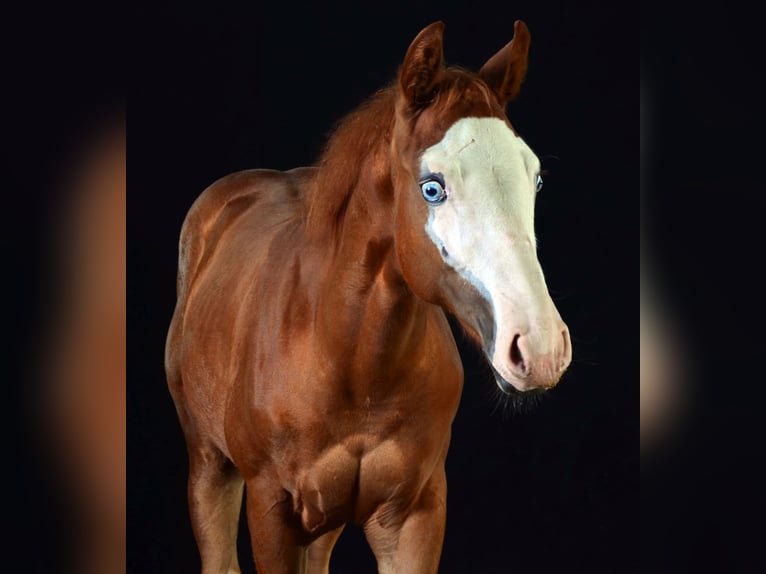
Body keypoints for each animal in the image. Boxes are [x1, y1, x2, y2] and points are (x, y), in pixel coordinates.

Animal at [165, 20, 572, 574]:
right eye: (432, 188)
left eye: (535, 178)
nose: (540, 347)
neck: (350, 363)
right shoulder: (271, 511)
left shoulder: (413, 516)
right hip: (209, 467)